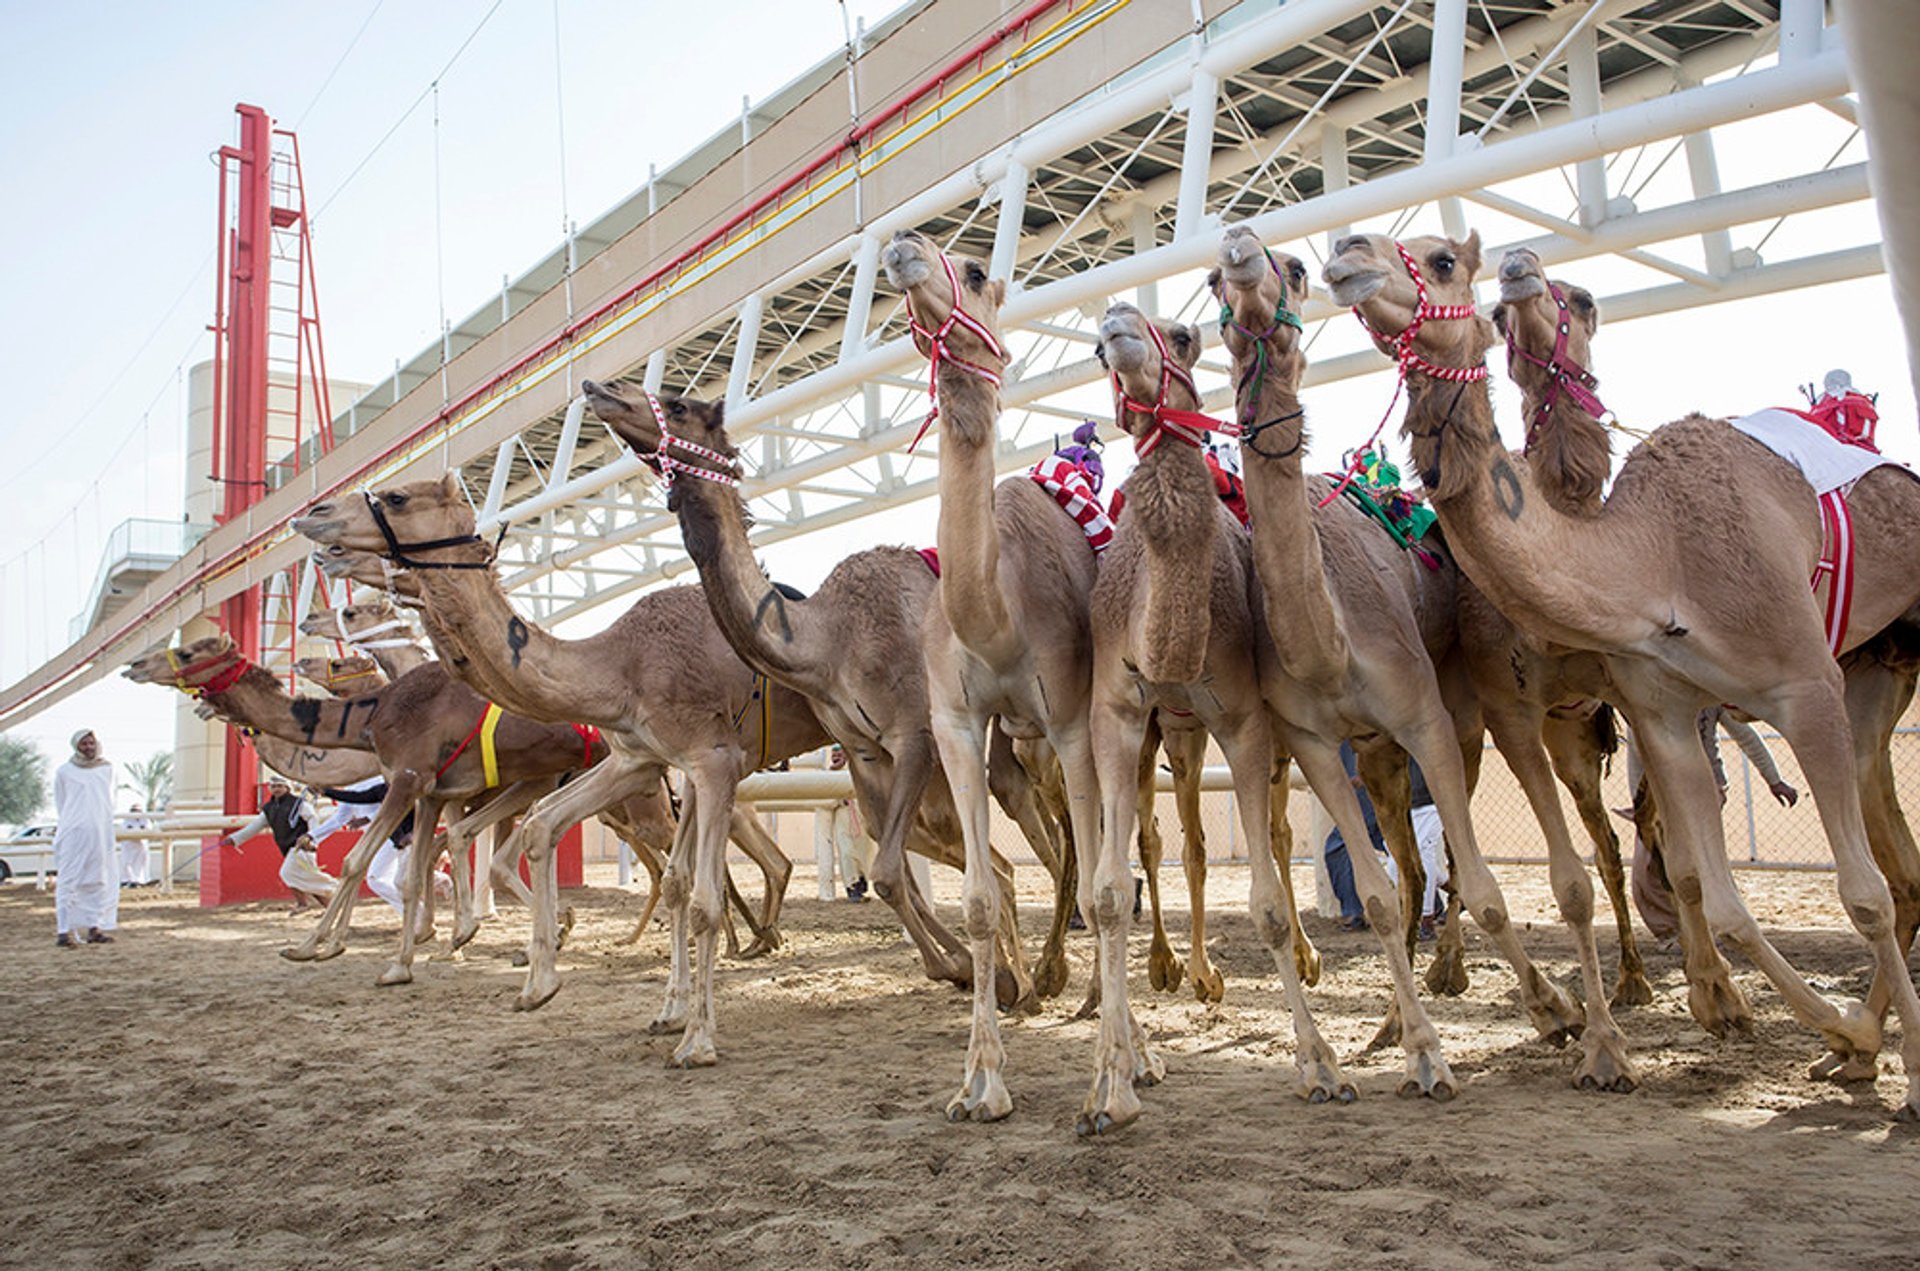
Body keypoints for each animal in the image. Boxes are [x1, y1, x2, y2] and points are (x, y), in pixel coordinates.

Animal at [291, 478, 833, 1067]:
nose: (314, 518)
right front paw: (555, 987)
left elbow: (702, 900)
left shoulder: (714, 761)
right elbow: (621, 859)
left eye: (397, 498)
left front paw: (697, 1041)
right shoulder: (645, 759)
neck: (621, 665)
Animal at [1205, 226, 1597, 1098]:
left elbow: (1483, 885)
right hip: (1378, 753)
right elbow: (1383, 897)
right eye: (1212, 281)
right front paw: (1420, 1050)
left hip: (1460, 719)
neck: (1332, 646)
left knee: (1455, 864)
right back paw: (1393, 1021)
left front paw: (1553, 1012)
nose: (1239, 248)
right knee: (1413, 874)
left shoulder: (1425, 717)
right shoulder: (1318, 743)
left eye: (1293, 268)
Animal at [1328, 234, 1920, 1121]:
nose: (1345, 250)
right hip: (1867, 674)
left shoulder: (1798, 685)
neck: (1655, 565)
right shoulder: (1619, 708)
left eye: (1441, 261)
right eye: (1495, 299)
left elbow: (1851, 893)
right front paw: (1839, 1030)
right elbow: (1698, 892)